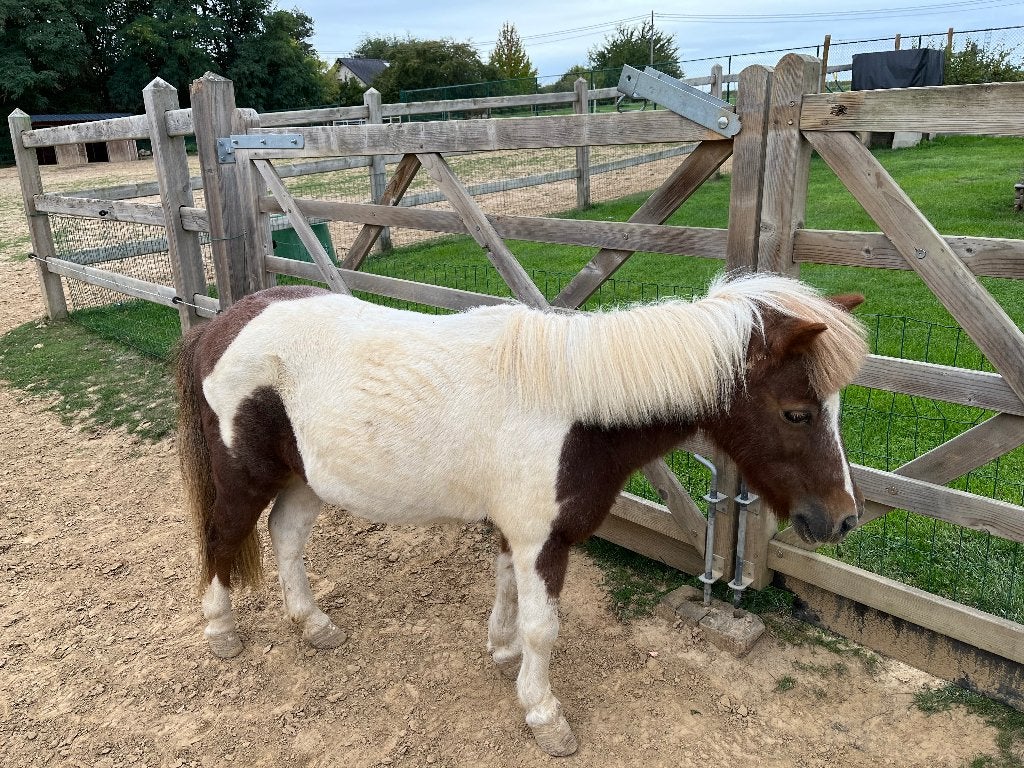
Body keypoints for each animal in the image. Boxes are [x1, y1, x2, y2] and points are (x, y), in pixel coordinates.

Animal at [174, 271, 868, 756]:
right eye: (797, 413)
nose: (841, 519)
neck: (577, 407)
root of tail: (220, 325)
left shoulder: (521, 534)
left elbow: (507, 587)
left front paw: (501, 652)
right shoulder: (543, 539)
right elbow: (544, 628)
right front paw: (544, 715)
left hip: (304, 478)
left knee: (285, 536)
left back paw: (313, 624)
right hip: (243, 479)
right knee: (220, 537)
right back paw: (221, 631)